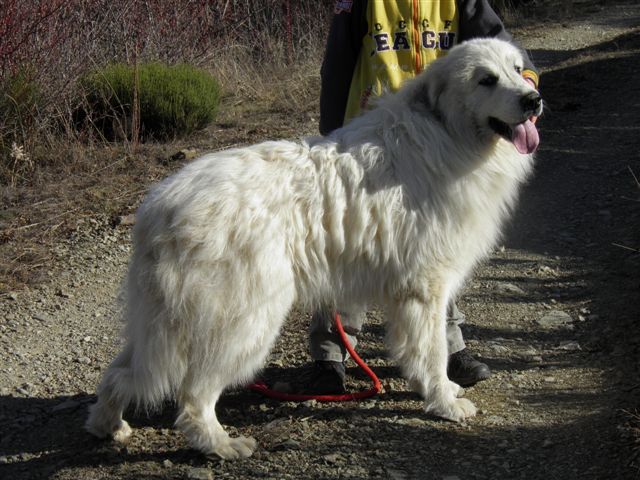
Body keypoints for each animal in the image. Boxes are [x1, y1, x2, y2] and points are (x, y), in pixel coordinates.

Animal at [87, 37, 544, 458]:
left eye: (517, 69)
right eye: (486, 79)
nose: (533, 99)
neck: (445, 131)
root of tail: (159, 208)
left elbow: (420, 352)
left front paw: (440, 388)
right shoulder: (425, 289)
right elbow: (431, 352)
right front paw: (444, 402)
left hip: (162, 325)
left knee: (120, 374)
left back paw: (109, 425)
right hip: (243, 324)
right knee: (193, 397)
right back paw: (221, 445)